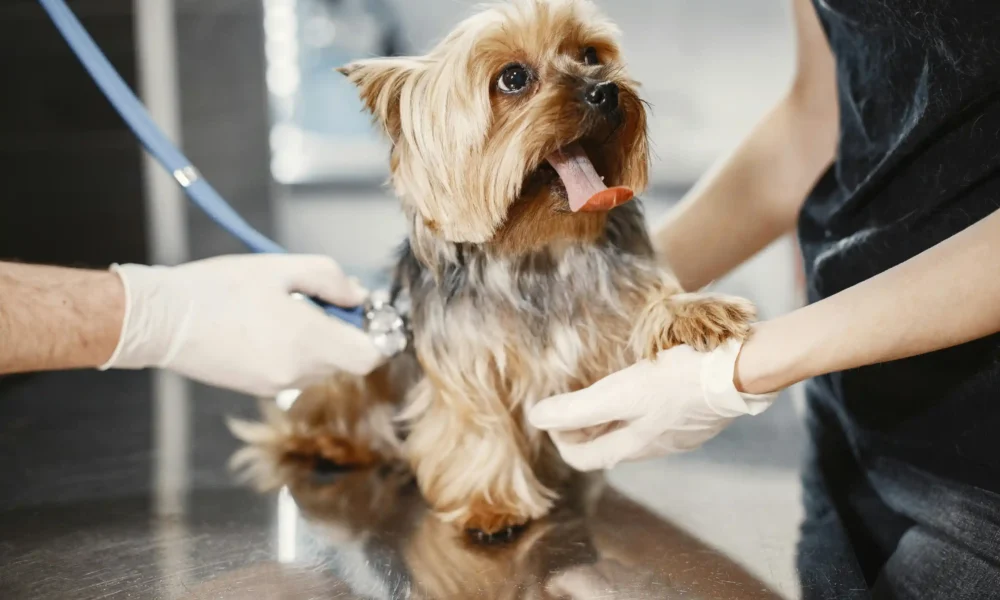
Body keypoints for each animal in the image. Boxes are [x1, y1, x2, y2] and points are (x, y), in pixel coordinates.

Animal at [232, 0, 752, 540]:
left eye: (590, 54)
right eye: (514, 78)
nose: (605, 90)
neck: (539, 251)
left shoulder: (609, 317)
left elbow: (645, 311)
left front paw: (692, 312)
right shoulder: (465, 361)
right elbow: (476, 423)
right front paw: (491, 504)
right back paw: (331, 443)